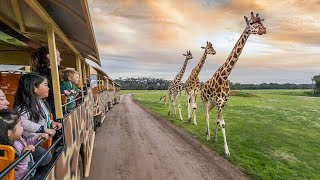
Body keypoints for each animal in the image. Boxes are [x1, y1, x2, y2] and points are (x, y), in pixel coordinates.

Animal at [201, 11, 266, 156]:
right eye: (251, 23)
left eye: (261, 22)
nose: (264, 30)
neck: (225, 76)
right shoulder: (219, 102)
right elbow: (222, 122)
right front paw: (227, 151)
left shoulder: (223, 102)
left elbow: (218, 120)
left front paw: (216, 138)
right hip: (205, 99)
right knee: (206, 114)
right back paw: (207, 136)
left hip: (212, 103)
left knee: (209, 114)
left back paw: (208, 134)